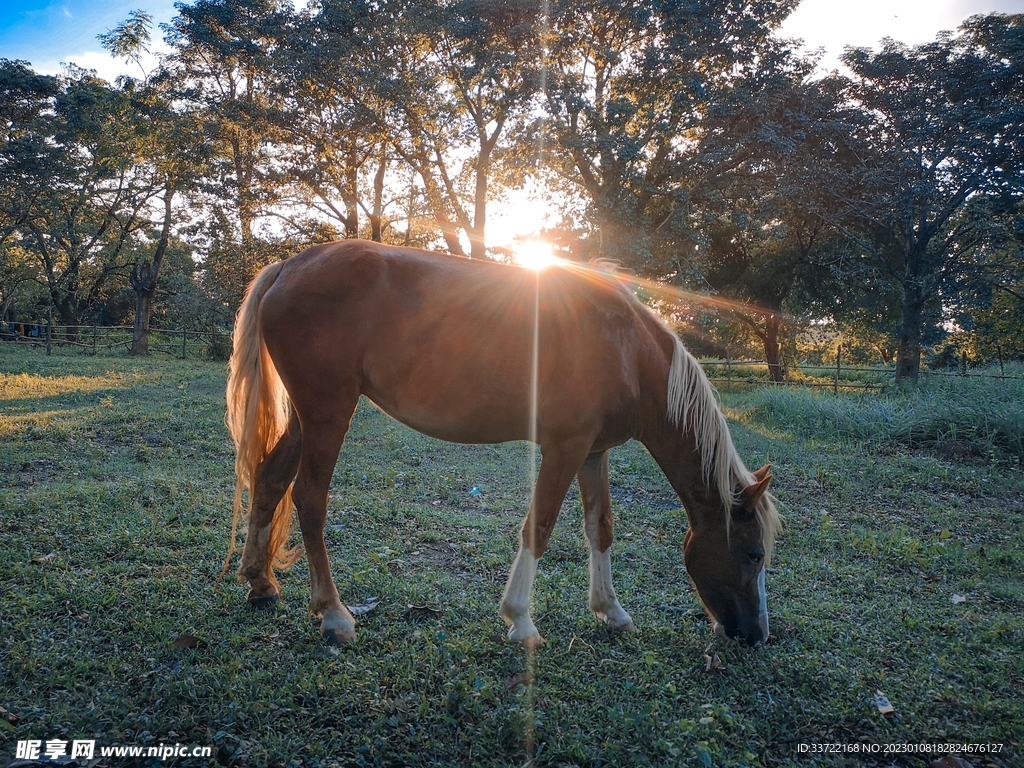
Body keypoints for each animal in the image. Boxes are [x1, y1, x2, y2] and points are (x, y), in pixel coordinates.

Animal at [224, 239, 780, 647]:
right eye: (754, 554)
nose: (756, 635)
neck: (625, 347)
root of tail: (290, 265)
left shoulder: (593, 452)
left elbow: (599, 528)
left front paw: (611, 611)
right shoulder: (564, 447)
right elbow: (539, 526)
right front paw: (521, 620)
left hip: (308, 417)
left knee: (271, 479)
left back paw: (260, 582)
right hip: (328, 414)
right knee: (310, 499)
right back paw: (334, 614)